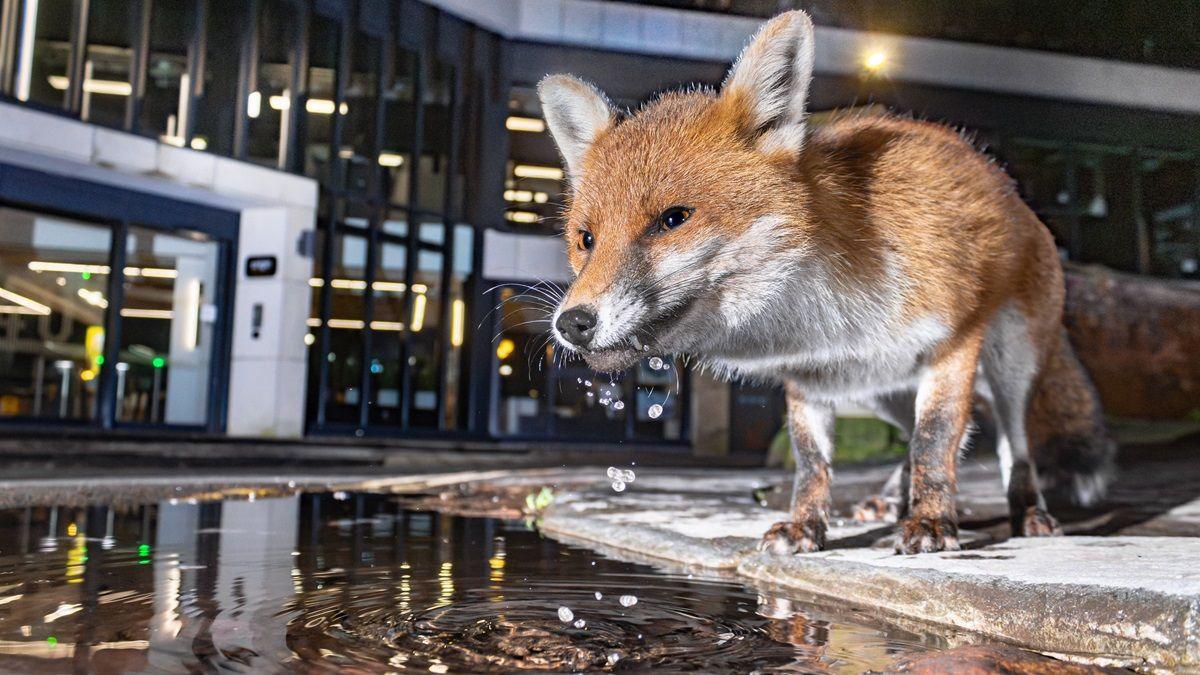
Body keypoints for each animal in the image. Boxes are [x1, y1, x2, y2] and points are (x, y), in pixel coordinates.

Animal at [540, 9, 1108, 552]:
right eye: (586, 240)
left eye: (674, 219)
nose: (572, 323)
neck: (825, 318)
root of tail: (1018, 197)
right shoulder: (809, 380)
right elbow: (814, 464)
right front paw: (806, 528)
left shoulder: (954, 343)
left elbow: (936, 439)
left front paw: (930, 521)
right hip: (878, 389)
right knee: (915, 436)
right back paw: (889, 500)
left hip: (1010, 363)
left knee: (1013, 444)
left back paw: (1026, 511)